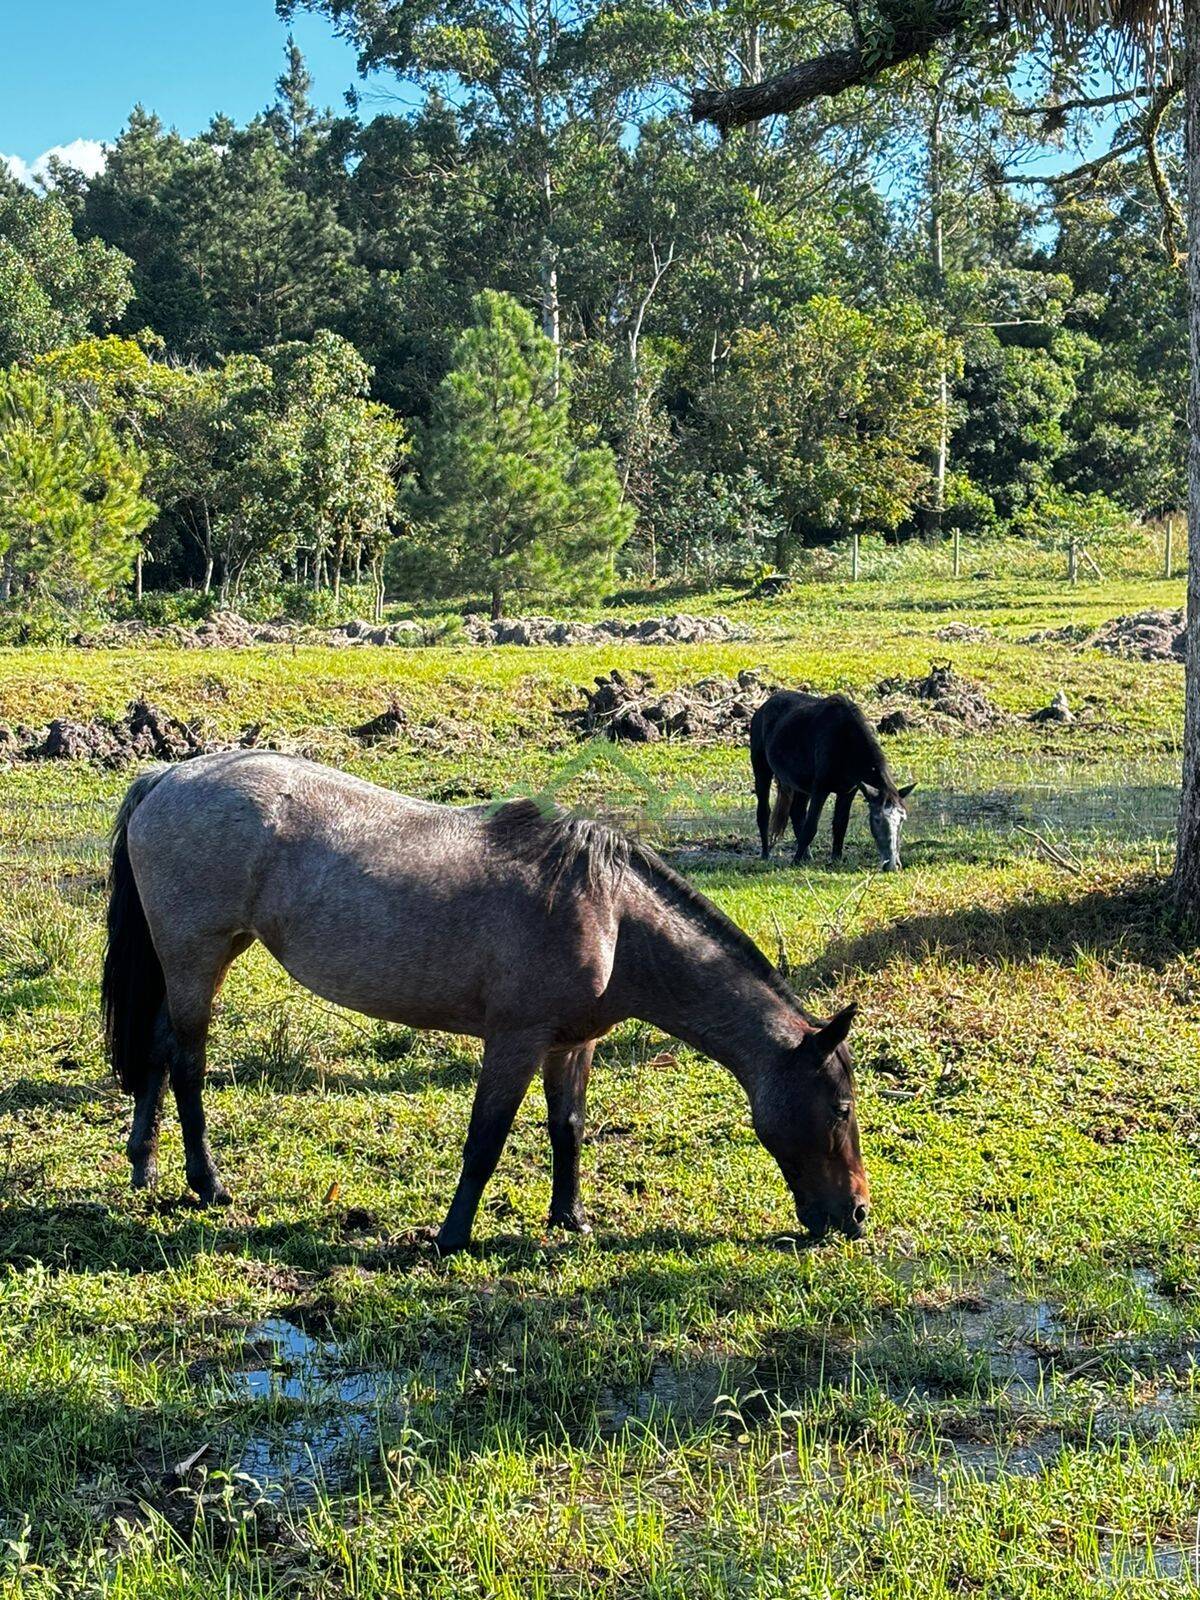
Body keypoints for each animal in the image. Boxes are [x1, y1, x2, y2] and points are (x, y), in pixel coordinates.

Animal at [103, 748, 870, 1248]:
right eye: (841, 1107)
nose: (858, 1216)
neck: (612, 916)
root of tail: (167, 776)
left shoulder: (572, 1043)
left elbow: (568, 1128)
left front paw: (570, 1217)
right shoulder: (515, 1042)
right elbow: (487, 1138)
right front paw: (451, 1235)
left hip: (198, 960)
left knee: (160, 1051)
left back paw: (144, 1164)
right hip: (198, 957)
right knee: (188, 1065)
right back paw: (208, 1183)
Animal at [755, 694, 915, 876]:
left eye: (902, 819)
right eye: (877, 819)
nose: (892, 865)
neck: (845, 741)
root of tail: (764, 706)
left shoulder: (848, 792)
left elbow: (840, 825)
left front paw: (836, 858)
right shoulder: (820, 790)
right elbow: (811, 827)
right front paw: (794, 861)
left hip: (801, 786)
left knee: (797, 813)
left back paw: (807, 856)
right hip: (762, 772)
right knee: (764, 812)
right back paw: (766, 854)